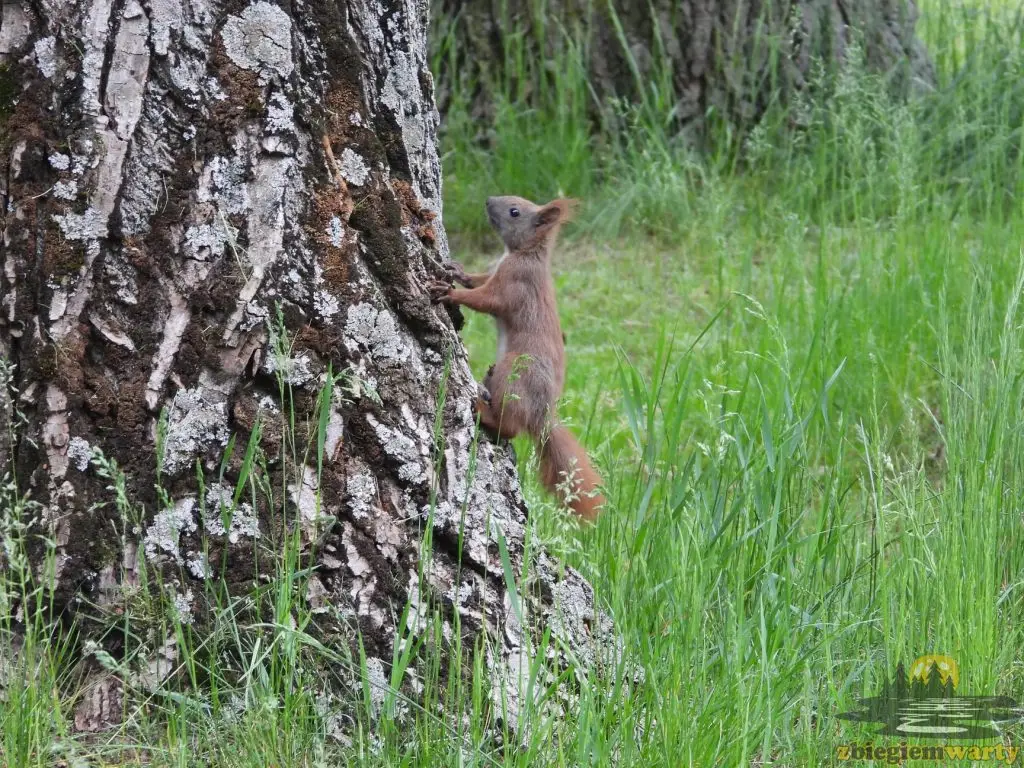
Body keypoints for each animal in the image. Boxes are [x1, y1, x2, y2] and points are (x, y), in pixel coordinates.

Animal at [428, 193, 602, 524]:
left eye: (514, 212)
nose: (488, 200)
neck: (524, 254)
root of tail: (541, 415)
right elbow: (479, 280)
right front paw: (458, 271)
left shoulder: (514, 283)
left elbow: (485, 299)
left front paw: (450, 293)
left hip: (515, 373)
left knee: (509, 427)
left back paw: (483, 411)